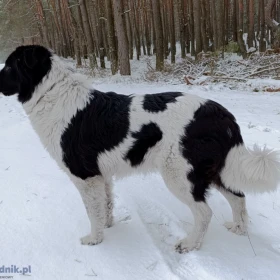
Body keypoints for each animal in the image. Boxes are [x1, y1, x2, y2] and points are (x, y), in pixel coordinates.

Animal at [0, 44, 280, 253]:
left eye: (10, 66)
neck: (50, 92)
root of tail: (221, 113)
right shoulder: (101, 177)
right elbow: (105, 205)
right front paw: (108, 227)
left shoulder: (85, 177)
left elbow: (92, 211)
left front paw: (94, 240)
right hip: (216, 171)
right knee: (239, 197)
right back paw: (239, 230)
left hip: (181, 176)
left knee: (204, 212)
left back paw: (190, 244)